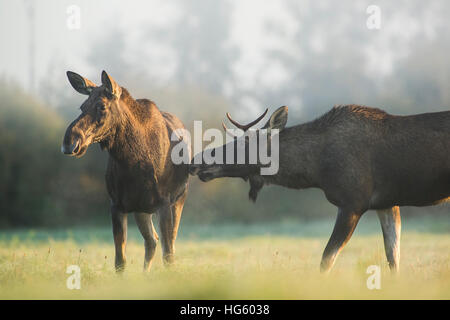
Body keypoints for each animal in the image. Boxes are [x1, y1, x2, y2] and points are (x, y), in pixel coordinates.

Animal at [61, 70, 188, 272]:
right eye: (82, 106)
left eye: (102, 106)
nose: (70, 142)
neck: (132, 162)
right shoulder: (117, 204)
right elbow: (120, 261)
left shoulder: (164, 203)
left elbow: (168, 257)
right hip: (141, 209)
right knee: (152, 241)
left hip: (178, 199)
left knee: (166, 244)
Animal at [190, 105, 450, 272]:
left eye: (244, 143)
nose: (196, 160)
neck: (315, 170)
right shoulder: (387, 204)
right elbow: (393, 257)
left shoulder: (353, 203)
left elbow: (327, 259)